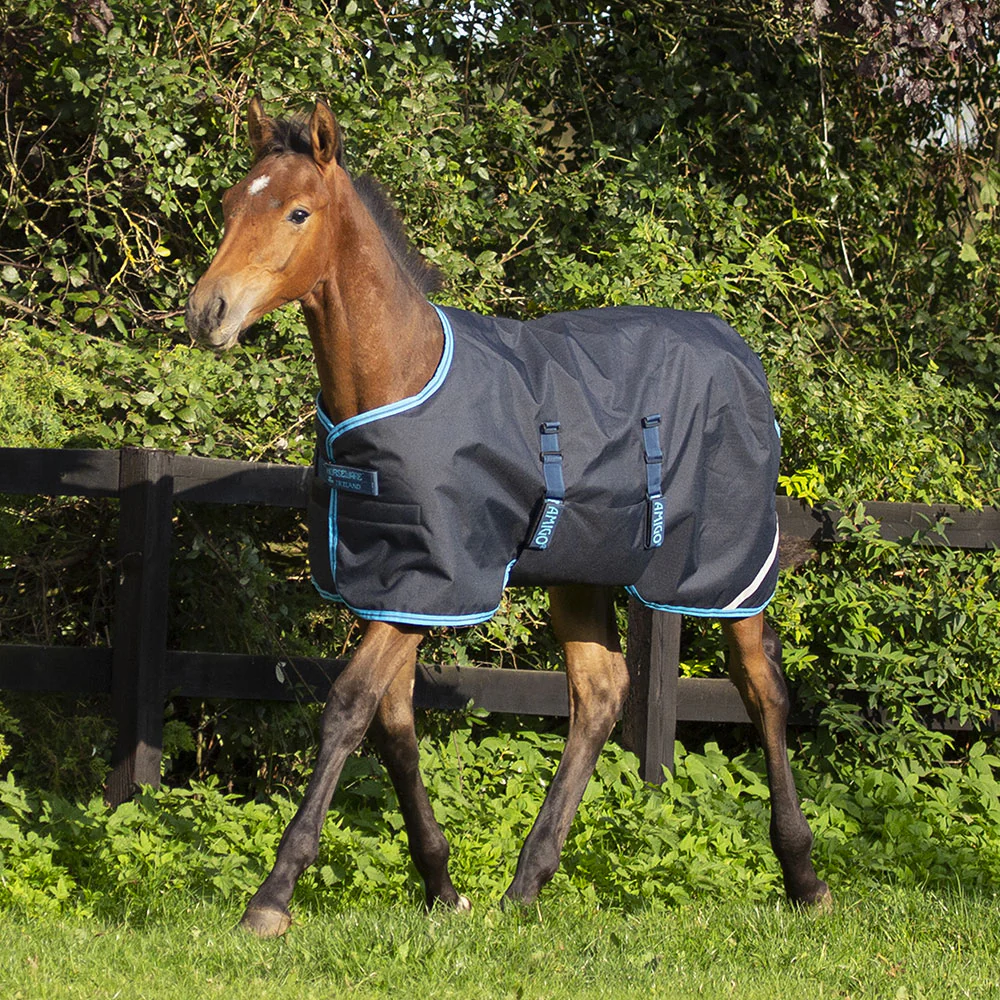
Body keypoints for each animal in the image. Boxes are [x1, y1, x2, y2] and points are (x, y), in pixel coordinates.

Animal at [185, 97, 831, 936]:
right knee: (600, 693)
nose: (208, 312)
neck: (400, 375)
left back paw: (804, 878)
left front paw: (272, 897)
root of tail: (742, 356)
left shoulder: (438, 580)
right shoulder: (395, 584)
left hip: (727, 571)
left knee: (761, 689)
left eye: (297, 211)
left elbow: (349, 707)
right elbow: (393, 722)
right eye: (232, 204)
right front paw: (442, 885)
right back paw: (528, 882)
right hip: (581, 572)